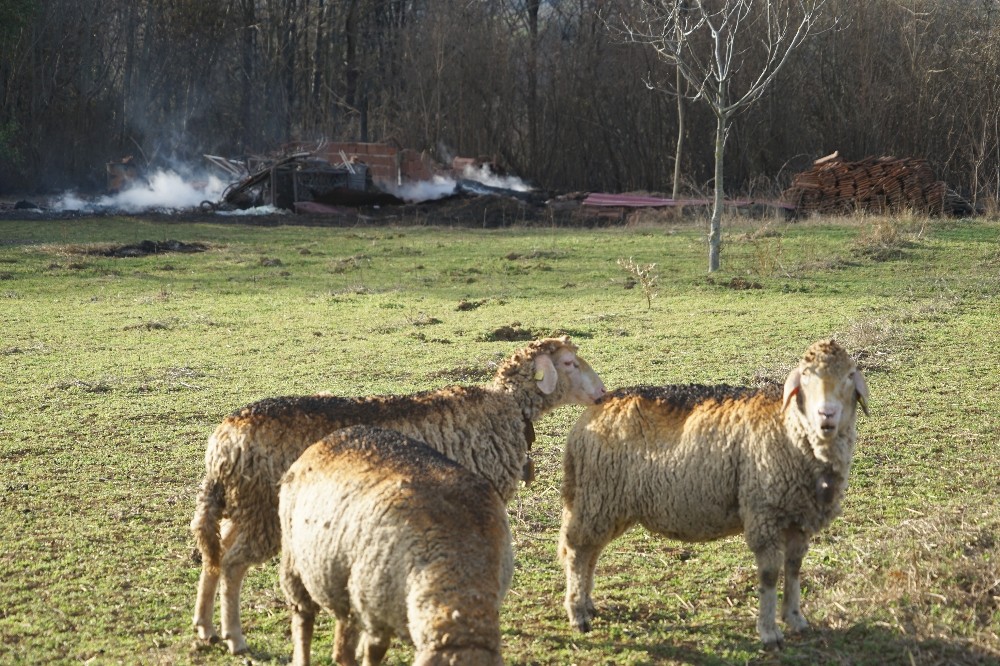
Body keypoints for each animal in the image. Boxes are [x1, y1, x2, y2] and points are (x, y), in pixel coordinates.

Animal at [282, 426, 516, 664]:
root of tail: (338, 434)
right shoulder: (374, 614)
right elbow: (374, 654)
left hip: (342, 580)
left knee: (341, 642)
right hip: (294, 563)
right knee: (304, 619)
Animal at [560, 340, 872, 644]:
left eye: (849, 376)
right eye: (805, 376)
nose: (826, 414)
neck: (789, 429)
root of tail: (593, 410)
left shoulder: (799, 519)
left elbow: (794, 568)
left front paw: (795, 619)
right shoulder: (764, 513)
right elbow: (770, 575)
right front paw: (769, 632)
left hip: (604, 502)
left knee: (591, 551)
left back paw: (587, 604)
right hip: (598, 495)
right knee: (577, 551)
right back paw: (578, 614)